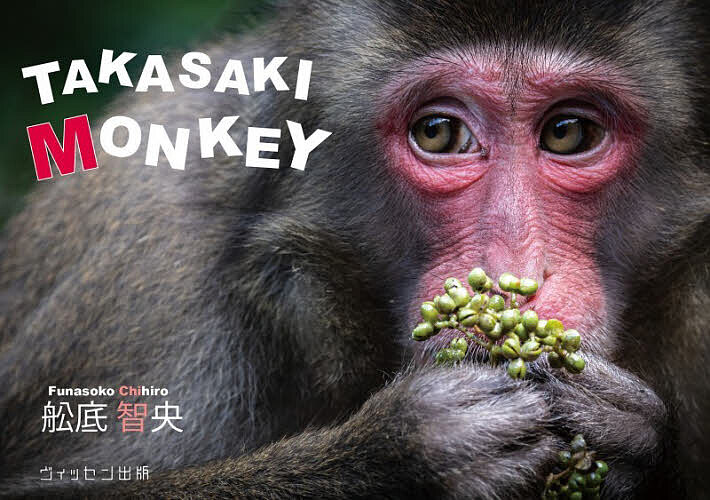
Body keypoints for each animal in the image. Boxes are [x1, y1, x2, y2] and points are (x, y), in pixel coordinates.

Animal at [1, 0, 709, 498]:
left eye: (568, 132)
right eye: (439, 131)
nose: (515, 277)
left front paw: (627, 434)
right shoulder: (150, 259)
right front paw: (407, 452)